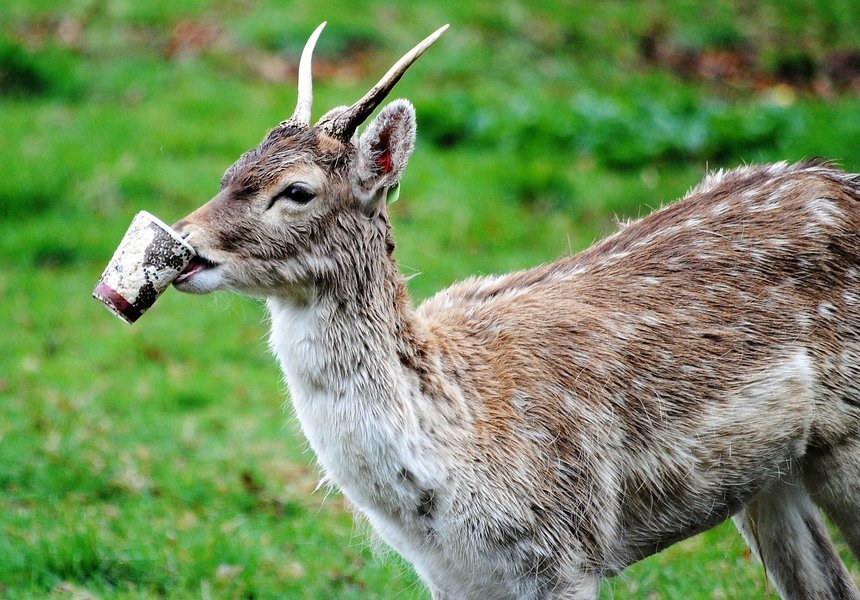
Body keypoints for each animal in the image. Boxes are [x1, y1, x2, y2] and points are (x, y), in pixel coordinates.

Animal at [170, 22, 860, 600]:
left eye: (296, 191)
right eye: (231, 169)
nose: (182, 245)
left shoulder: (569, 553)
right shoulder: (454, 580)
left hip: (845, 439)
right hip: (769, 476)